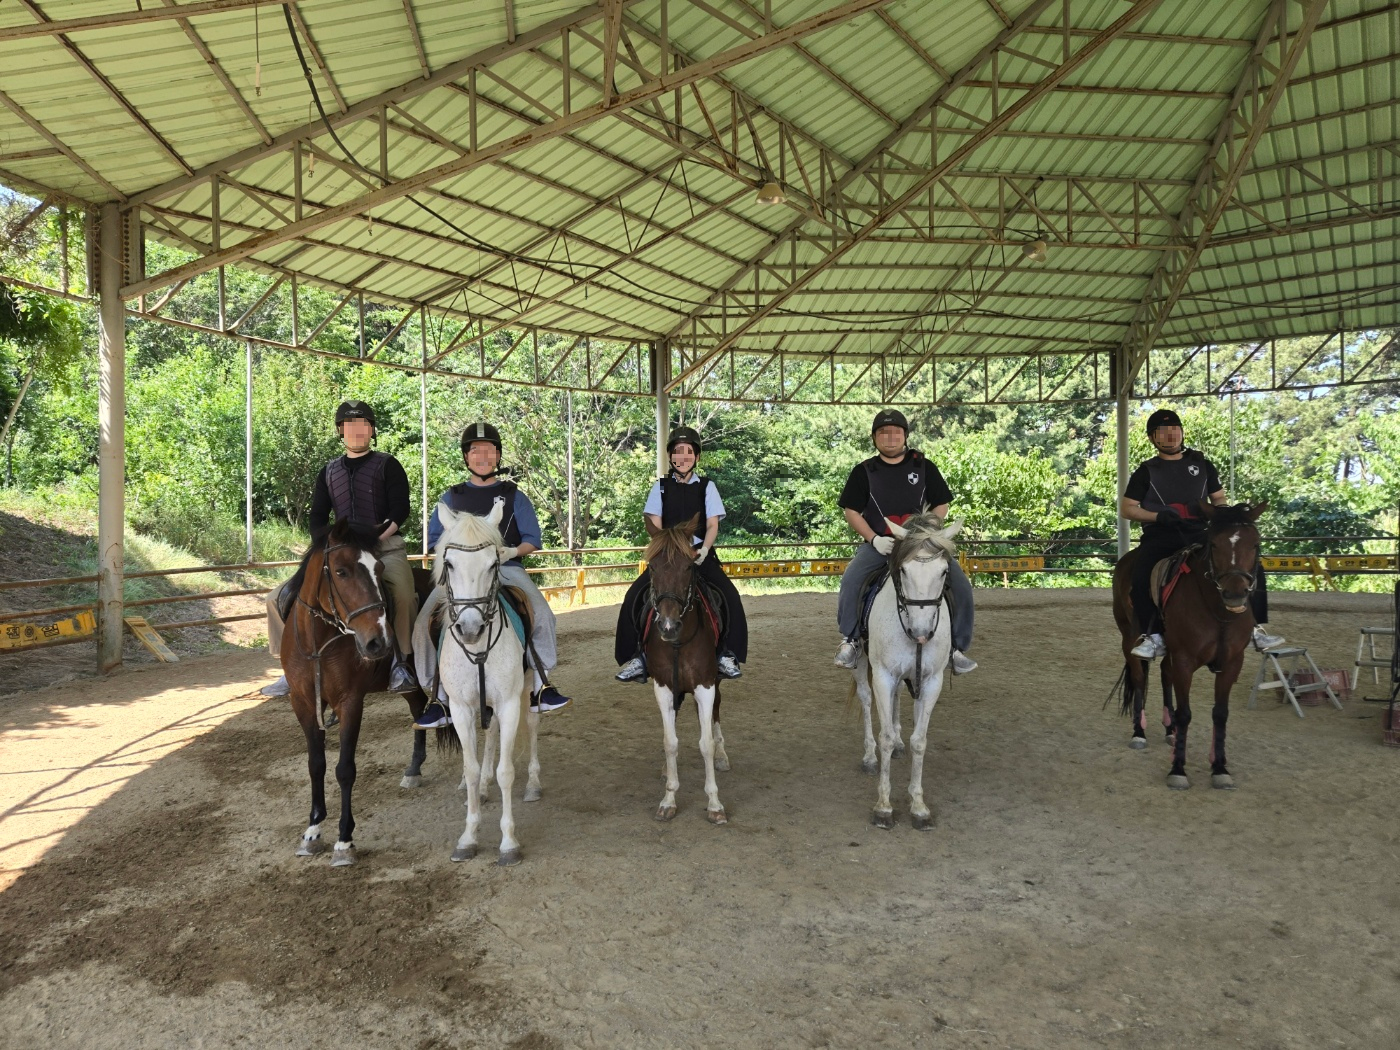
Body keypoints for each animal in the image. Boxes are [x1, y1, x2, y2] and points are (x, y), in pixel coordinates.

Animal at [281, 519, 430, 866]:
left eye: (378, 568)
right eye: (341, 571)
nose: (378, 642)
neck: (318, 642)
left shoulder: (350, 703)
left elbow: (345, 770)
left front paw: (344, 841)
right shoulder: (303, 704)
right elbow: (316, 765)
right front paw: (312, 831)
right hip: (412, 684)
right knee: (419, 709)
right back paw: (413, 769)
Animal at [431, 500, 541, 866]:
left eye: (494, 563)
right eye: (449, 563)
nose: (470, 628)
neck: (478, 649)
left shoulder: (508, 704)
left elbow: (506, 772)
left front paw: (508, 842)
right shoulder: (461, 708)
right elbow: (471, 767)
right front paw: (468, 837)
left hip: (529, 689)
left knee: (532, 724)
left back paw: (533, 784)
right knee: (489, 737)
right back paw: (479, 789)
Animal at [644, 514, 731, 824]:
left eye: (689, 566)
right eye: (653, 567)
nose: (668, 626)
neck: (679, 642)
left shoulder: (706, 684)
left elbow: (705, 743)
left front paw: (715, 804)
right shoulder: (663, 686)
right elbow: (671, 741)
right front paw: (668, 798)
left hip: (716, 681)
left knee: (715, 712)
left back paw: (722, 755)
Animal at [852, 513, 961, 830]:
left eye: (943, 571)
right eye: (903, 570)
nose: (921, 632)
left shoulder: (932, 680)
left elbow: (919, 741)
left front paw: (919, 806)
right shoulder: (883, 675)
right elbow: (885, 736)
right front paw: (884, 807)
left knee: (898, 698)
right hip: (861, 663)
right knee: (866, 700)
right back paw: (869, 757)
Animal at [1111, 501, 1267, 790]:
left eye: (1255, 544)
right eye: (1214, 544)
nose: (1234, 593)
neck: (1218, 613)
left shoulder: (1231, 663)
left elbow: (1220, 713)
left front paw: (1219, 767)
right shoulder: (1184, 660)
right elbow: (1185, 713)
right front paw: (1178, 770)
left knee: (1164, 674)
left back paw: (1169, 728)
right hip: (1129, 637)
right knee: (1139, 678)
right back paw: (1139, 732)